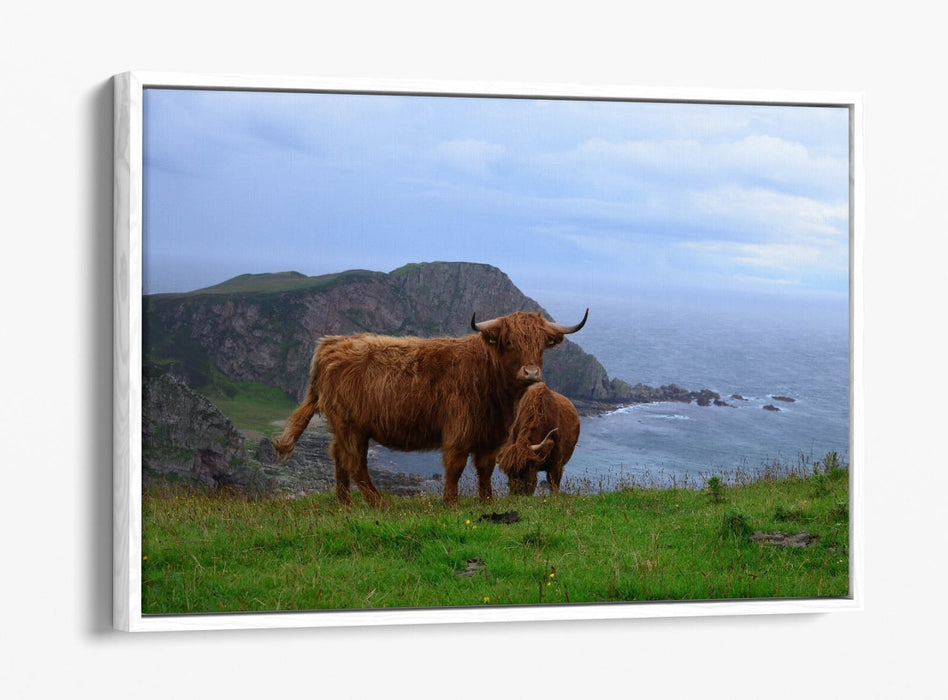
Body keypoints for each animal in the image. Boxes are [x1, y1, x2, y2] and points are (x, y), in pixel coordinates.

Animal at [271, 309, 588, 506]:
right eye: (509, 341)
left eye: (541, 344)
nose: (531, 373)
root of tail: (330, 344)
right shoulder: (459, 431)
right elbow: (455, 467)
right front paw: (451, 502)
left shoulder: (492, 437)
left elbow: (485, 470)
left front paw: (486, 501)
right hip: (352, 427)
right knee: (355, 463)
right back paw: (379, 503)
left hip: (341, 427)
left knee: (338, 458)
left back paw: (344, 502)